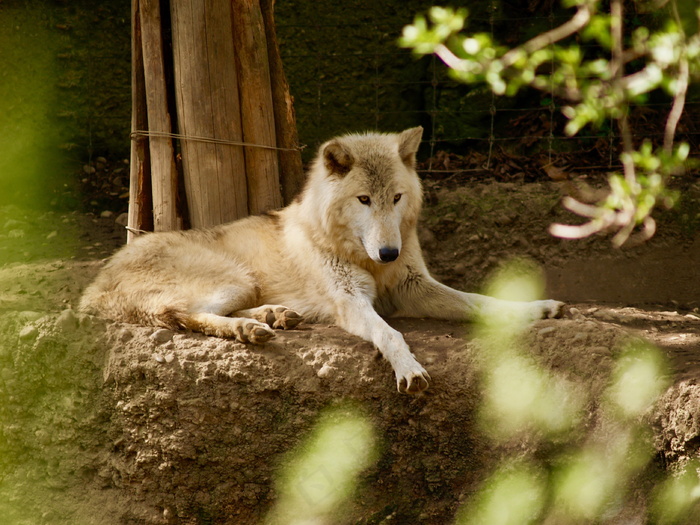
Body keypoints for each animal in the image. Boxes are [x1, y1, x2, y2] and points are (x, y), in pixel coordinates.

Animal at [80, 126, 564, 388]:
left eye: (397, 197)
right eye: (364, 199)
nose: (389, 252)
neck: (364, 258)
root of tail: (92, 287)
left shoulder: (415, 288)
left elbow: (482, 302)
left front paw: (540, 308)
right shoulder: (352, 302)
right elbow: (390, 334)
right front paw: (408, 368)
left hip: (242, 285)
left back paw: (274, 316)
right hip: (233, 278)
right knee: (180, 314)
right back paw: (251, 329)